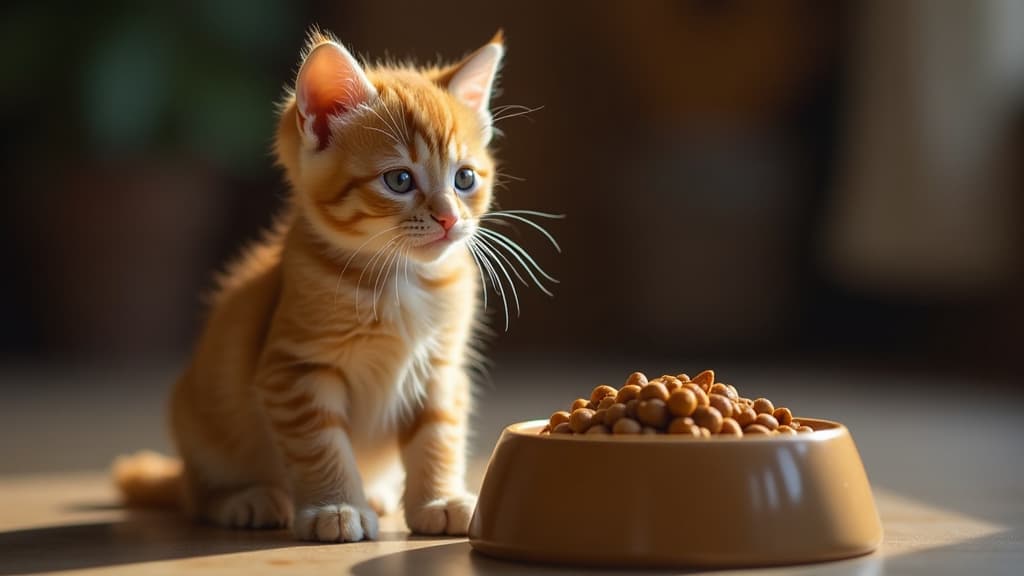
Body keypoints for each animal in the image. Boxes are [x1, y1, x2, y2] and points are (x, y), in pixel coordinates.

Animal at [112, 29, 552, 541]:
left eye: (464, 178)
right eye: (399, 180)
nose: (448, 218)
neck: (400, 281)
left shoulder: (441, 370)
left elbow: (438, 433)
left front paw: (439, 499)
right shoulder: (293, 369)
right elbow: (321, 444)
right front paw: (335, 507)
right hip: (201, 420)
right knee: (195, 494)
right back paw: (246, 499)